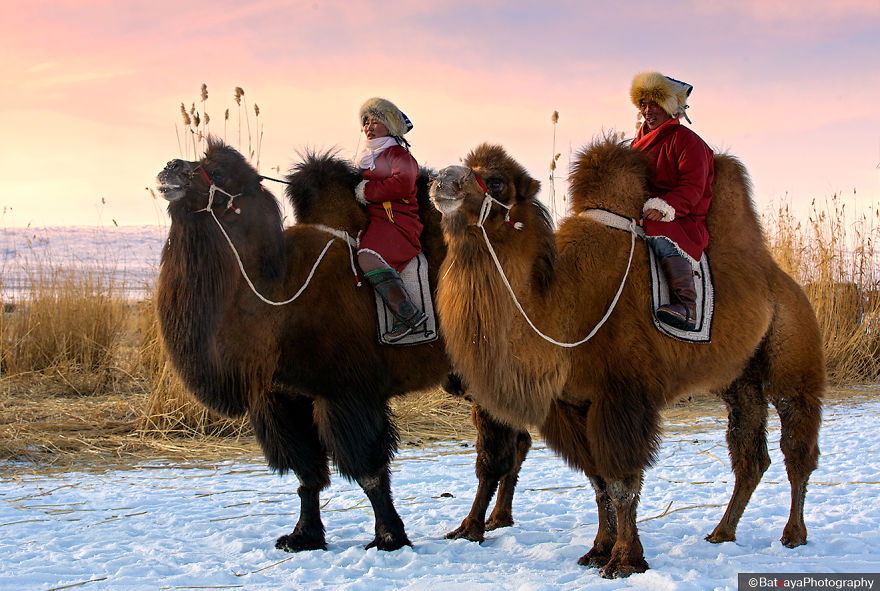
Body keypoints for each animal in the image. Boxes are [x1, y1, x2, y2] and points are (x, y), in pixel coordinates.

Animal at [155, 138, 530, 553]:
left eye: (217, 171)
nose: (170, 167)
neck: (275, 293)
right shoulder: (281, 397)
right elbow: (307, 474)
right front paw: (302, 537)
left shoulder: (345, 392)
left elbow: (368, 471)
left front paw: (389, 538)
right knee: (518, 440)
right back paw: (498, 519)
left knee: (494, 454)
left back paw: (470, 528)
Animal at [429, 139, 825, 578]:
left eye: (496, 179)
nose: (442, 178)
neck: (561, 306)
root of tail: (784, 281)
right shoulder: (571, 403)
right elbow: (598, 481)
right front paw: (598, 550)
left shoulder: (622, 396)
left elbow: (622, 481)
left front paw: (624, 560)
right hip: (739, 381)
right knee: (749, 455)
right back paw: (722, 532)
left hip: (793, 357)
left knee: (797, 447)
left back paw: (794, 534)